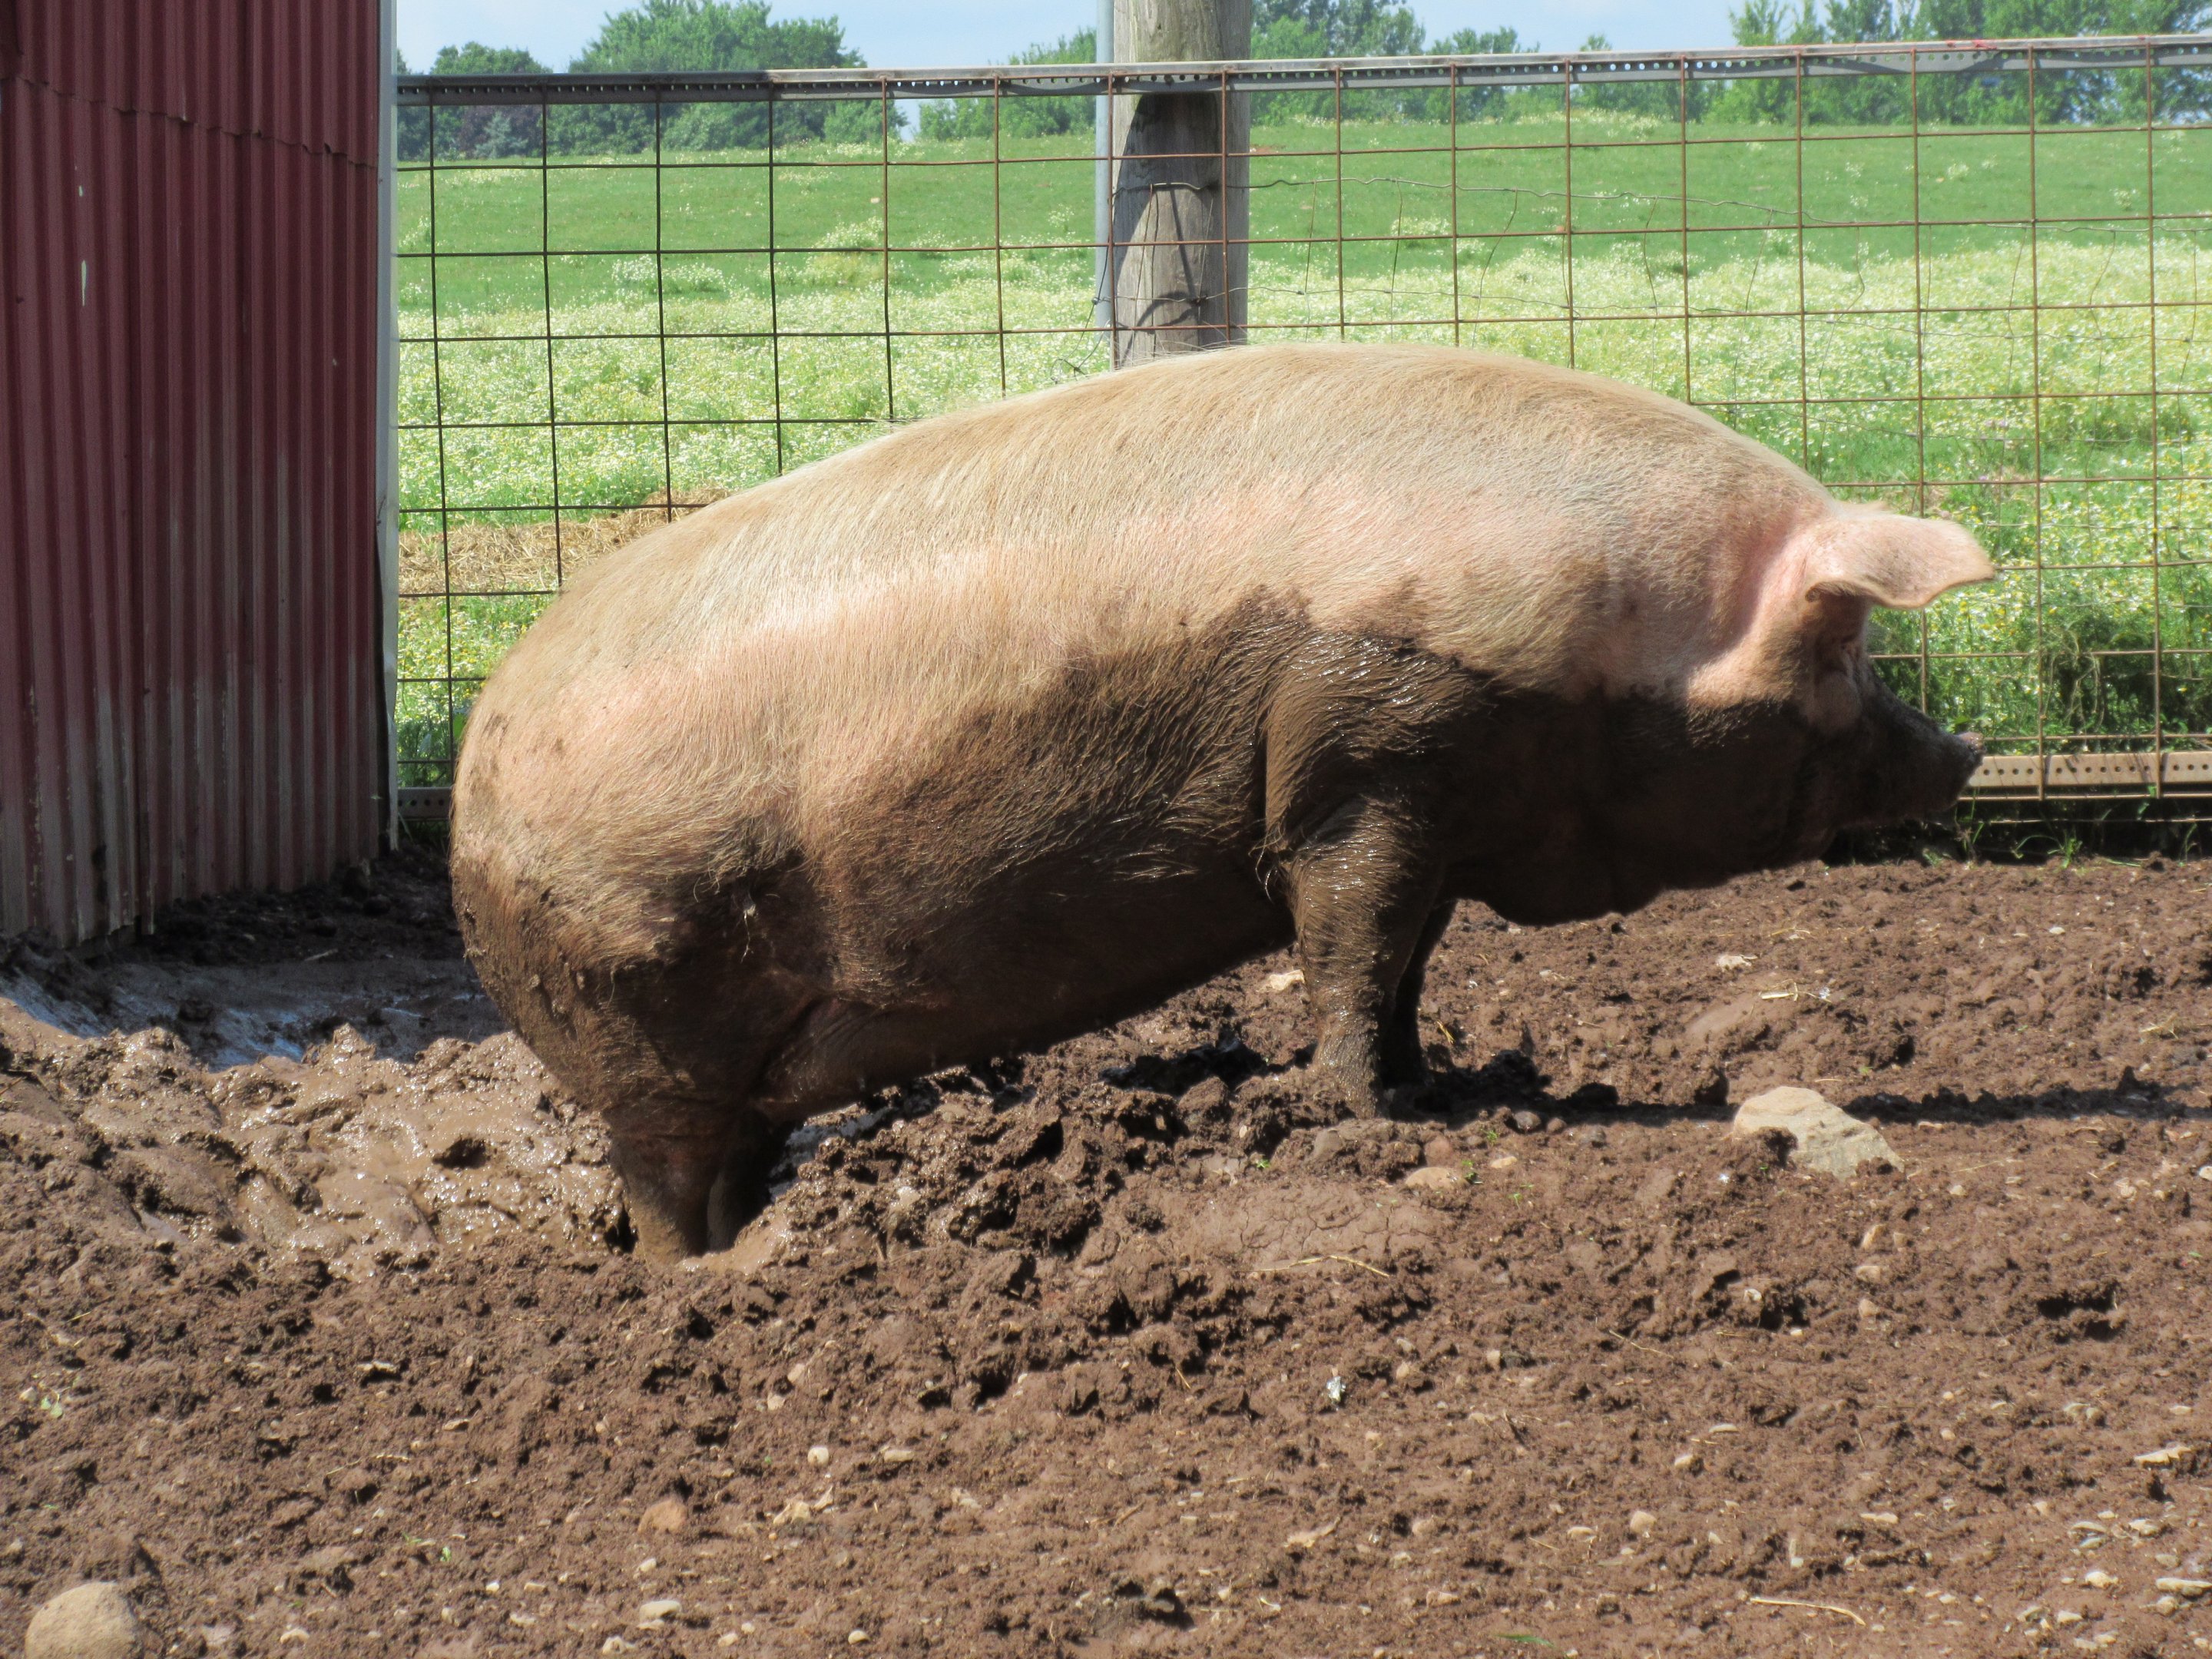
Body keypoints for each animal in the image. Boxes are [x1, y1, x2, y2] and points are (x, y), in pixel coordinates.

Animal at [451, 342, 1994, 1261]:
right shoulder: (1370, 756)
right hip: (633, 999)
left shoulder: (1427, 801)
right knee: (663, 1173)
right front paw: (1373, 1118)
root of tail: (471, 780)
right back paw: (707, 1275)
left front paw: (1437, 1088)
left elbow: (1404, 959)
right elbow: (1350, 940)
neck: (1606, 633)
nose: (1968, 753)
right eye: (1843, 652)